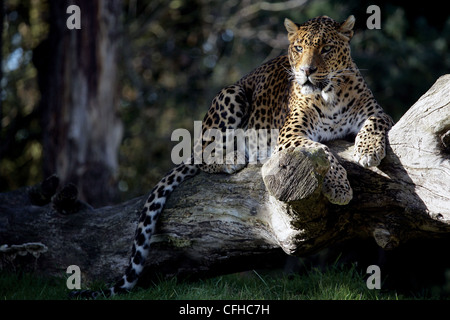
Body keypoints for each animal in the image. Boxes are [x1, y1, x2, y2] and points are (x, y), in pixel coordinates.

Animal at [70, 15, 394, 298]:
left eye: (326, 48)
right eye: (299, 48)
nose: (307, 71)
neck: (329, 94)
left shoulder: (377, 112)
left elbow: (374, 123)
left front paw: (368, 150)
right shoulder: (290, 133)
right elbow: (323, 150)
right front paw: (340, 188)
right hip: (231, 94)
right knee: (202, 153)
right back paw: (233, 157)